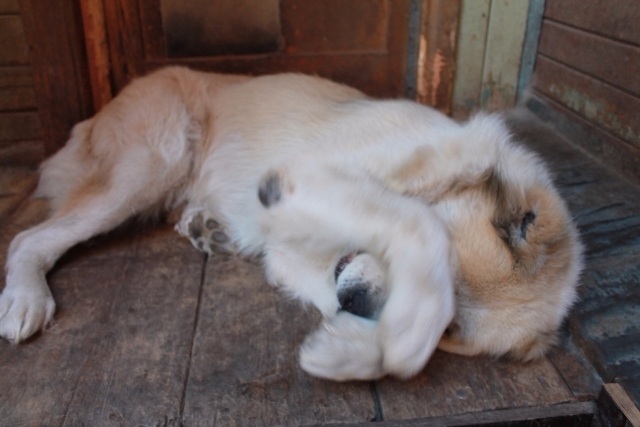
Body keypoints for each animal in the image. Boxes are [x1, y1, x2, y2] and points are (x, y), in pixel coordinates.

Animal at [0, 67, 580, 382]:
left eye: (454, 334)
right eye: (447, 281)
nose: (357, 304)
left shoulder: (296, 258)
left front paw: (352, 351)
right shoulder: (305, 177)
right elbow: (421, 224)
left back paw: (206, 227)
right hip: (150, 166)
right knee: (29, 237)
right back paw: (25, 302)